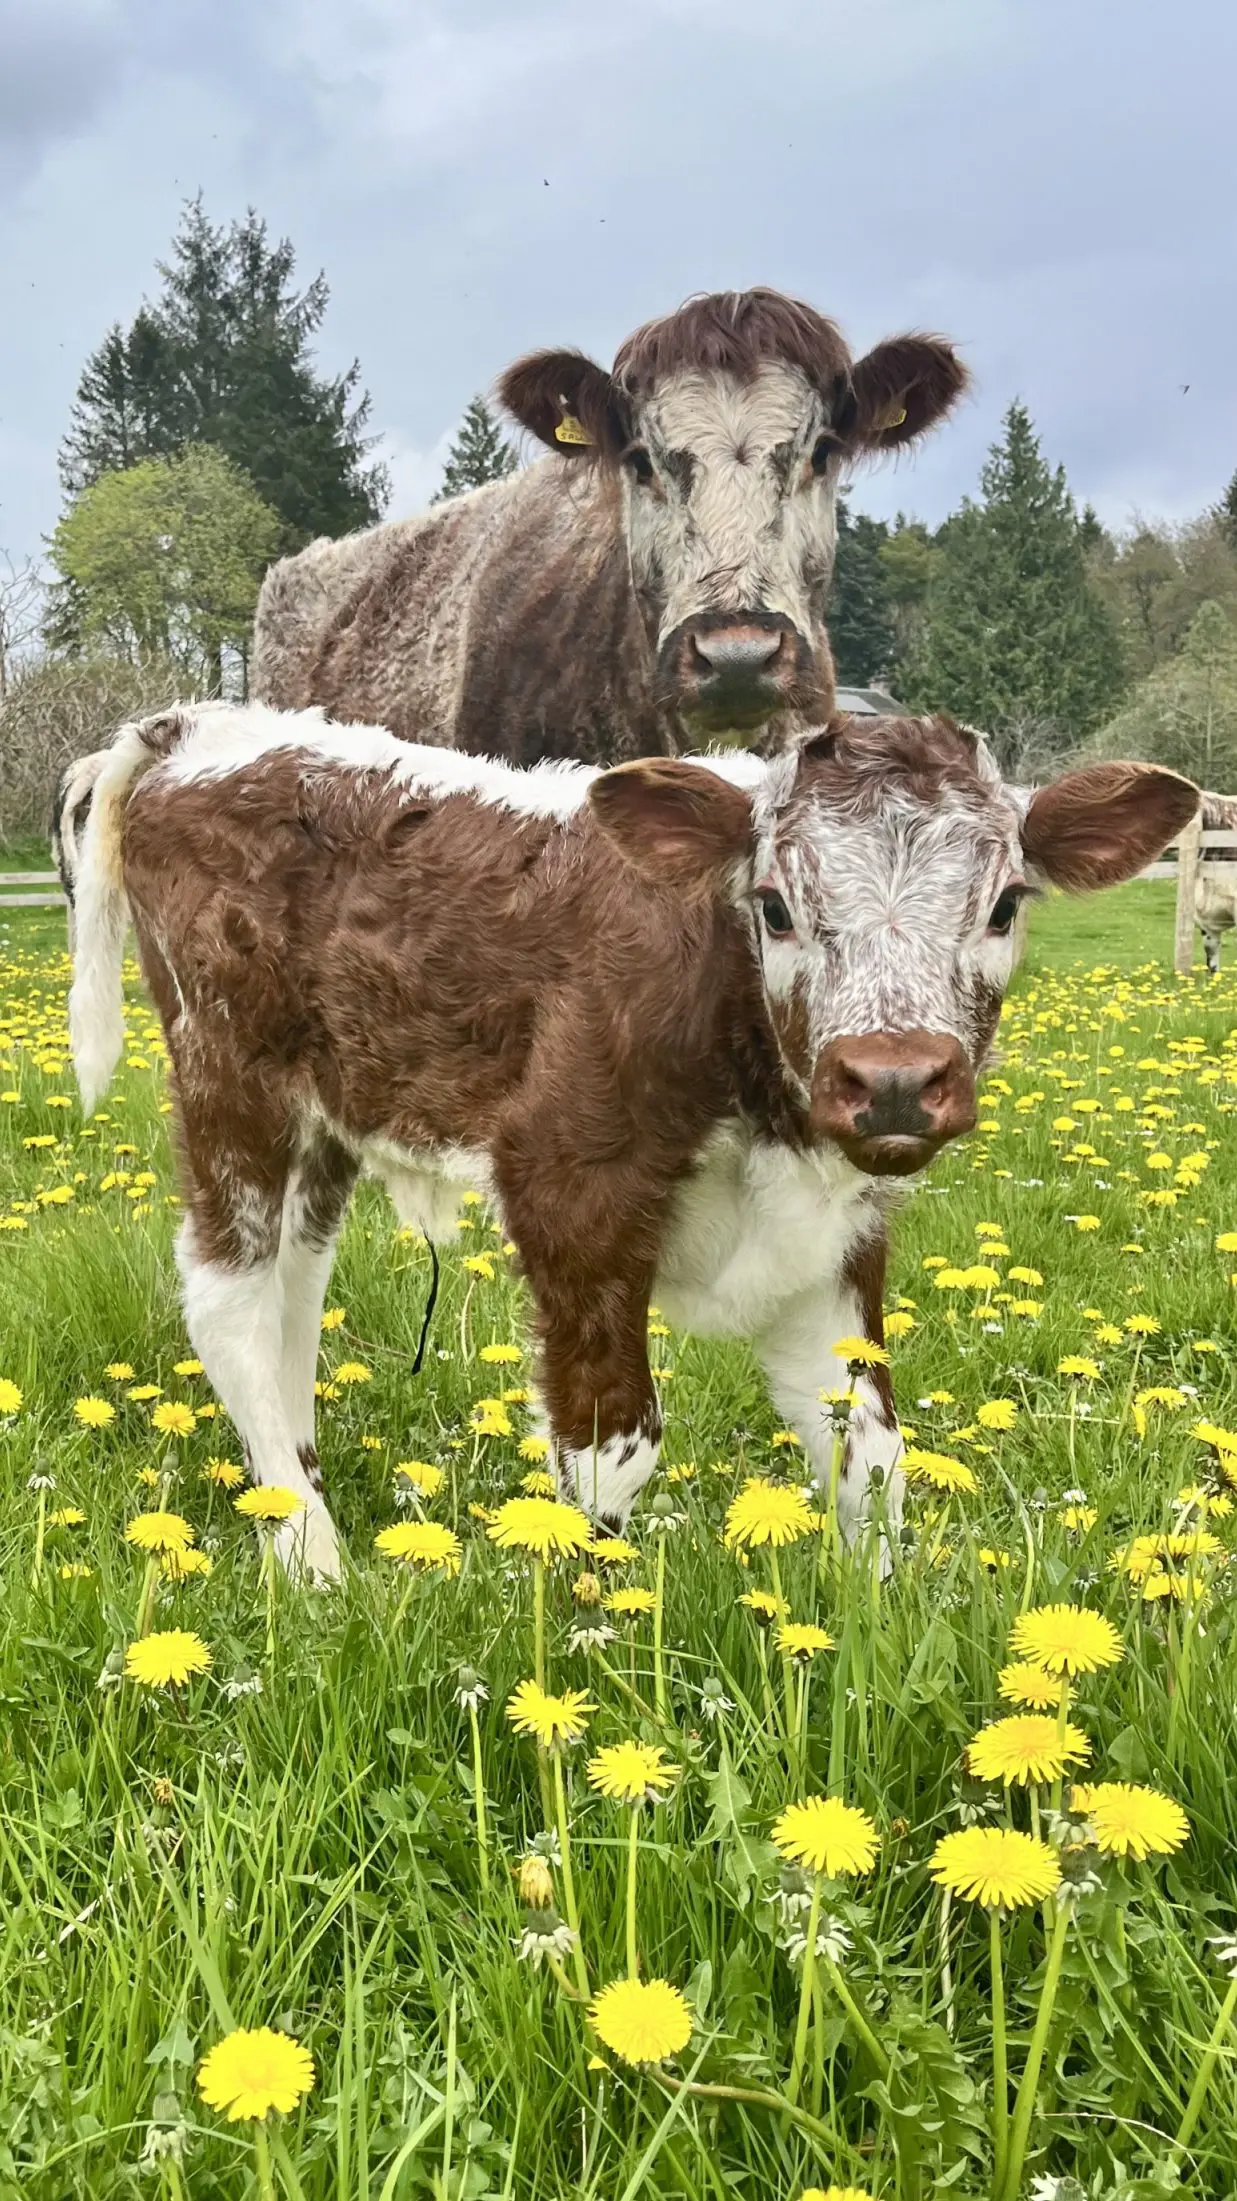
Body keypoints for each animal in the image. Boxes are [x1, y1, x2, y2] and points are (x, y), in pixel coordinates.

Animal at [67, 701, 1195, 1580]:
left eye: (1005, 904)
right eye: (773, 906)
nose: (892, 1081)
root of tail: (202, 724)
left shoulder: (837, 1236)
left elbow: (868, 1447)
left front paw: (873, 1635)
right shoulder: (568, 1186)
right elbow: (611, 1448)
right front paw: (593, 1638)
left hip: (328, 1114)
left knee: (295, 1294)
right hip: (231, 1080)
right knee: (231, 1299)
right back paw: (312, 1560)